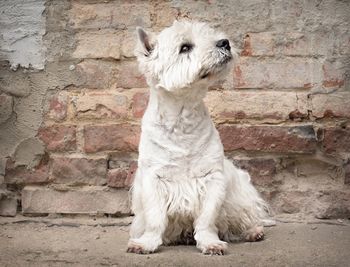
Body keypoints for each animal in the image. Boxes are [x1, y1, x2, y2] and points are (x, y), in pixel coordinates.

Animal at [127, 20, 270, 255]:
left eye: (210, 34)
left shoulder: (212, 178)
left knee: (243, 219)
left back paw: (253, 232)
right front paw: (146, 243)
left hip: (240, 196)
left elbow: (206, 218)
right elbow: (155, 218)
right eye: (185, 47)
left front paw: (210, 243)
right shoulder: (153, 179)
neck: (182, 118)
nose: (225, 42)